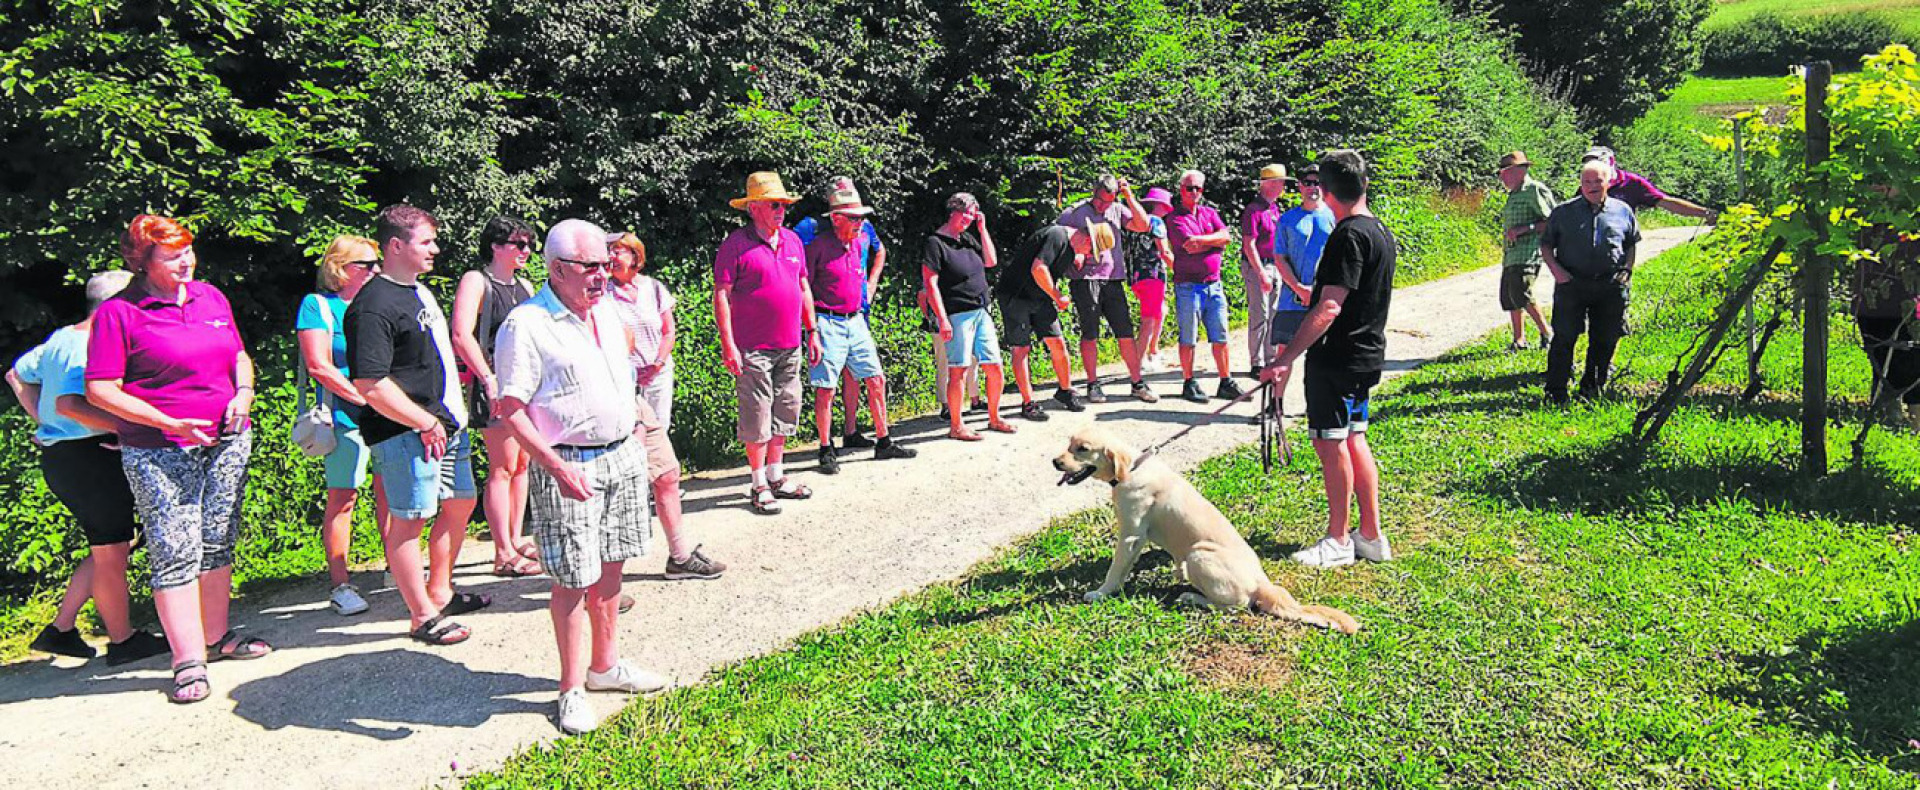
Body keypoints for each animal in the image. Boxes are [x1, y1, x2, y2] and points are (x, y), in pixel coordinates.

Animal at [1059, 426, 1359, 638]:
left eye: (1083, 449)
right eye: (1068, 444)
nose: (1054, 462)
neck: (1131, 469)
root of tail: (1262, 583)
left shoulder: (1131, 535)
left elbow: (1115, 570)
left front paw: (1100, 593)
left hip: (1199, 554)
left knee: (1237, 606)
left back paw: (1192, 597)